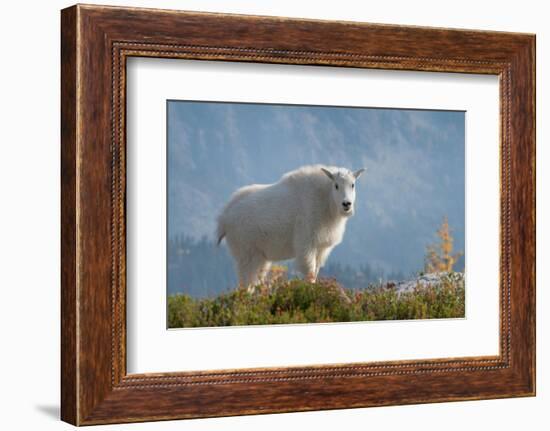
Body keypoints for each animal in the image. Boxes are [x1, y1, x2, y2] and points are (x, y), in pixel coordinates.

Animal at [217, 164, 366, 292]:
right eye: (336, 185)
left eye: (352, 185)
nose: (346, 204)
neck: (325, 200)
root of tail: (224, 218)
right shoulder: (306, 241)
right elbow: (309, 272)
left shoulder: (321, 248)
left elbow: (316, 270)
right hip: (245, 251)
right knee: (246, 282)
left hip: (260, 256)